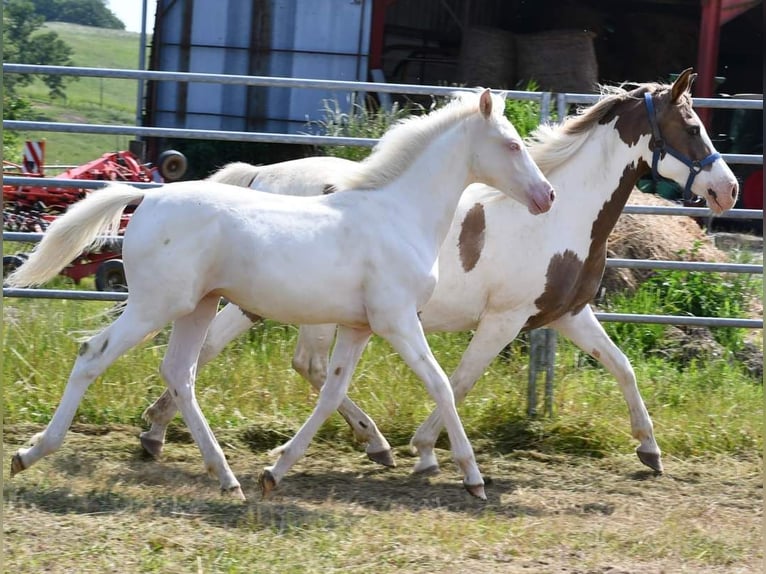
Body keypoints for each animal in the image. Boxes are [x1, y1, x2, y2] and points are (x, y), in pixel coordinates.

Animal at [7, 89, 560, 500]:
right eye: (512, 144)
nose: (547, 196)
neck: (400, 215)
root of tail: (148, 197)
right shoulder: (398, 320)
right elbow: (442, 384)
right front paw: (472, 478)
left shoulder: (359, 327)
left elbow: (332, 391)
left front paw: (280, 471)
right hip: (154, 305)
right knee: (93, 354)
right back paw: (30, 453)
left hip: (197, 307)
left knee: (181, 373)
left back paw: (226, 478)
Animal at [138, 70, 736, 480]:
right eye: (692, 126)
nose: (727, 189)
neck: (563, 215)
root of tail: (261, 174)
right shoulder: (505, 319)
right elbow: (463, 379)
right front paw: (427, 451)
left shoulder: (567, 315)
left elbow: (622, 367)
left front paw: (649, 450)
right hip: (290, 306)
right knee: (298, 363)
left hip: (251, 301)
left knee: (215, 352)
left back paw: (157, 429)